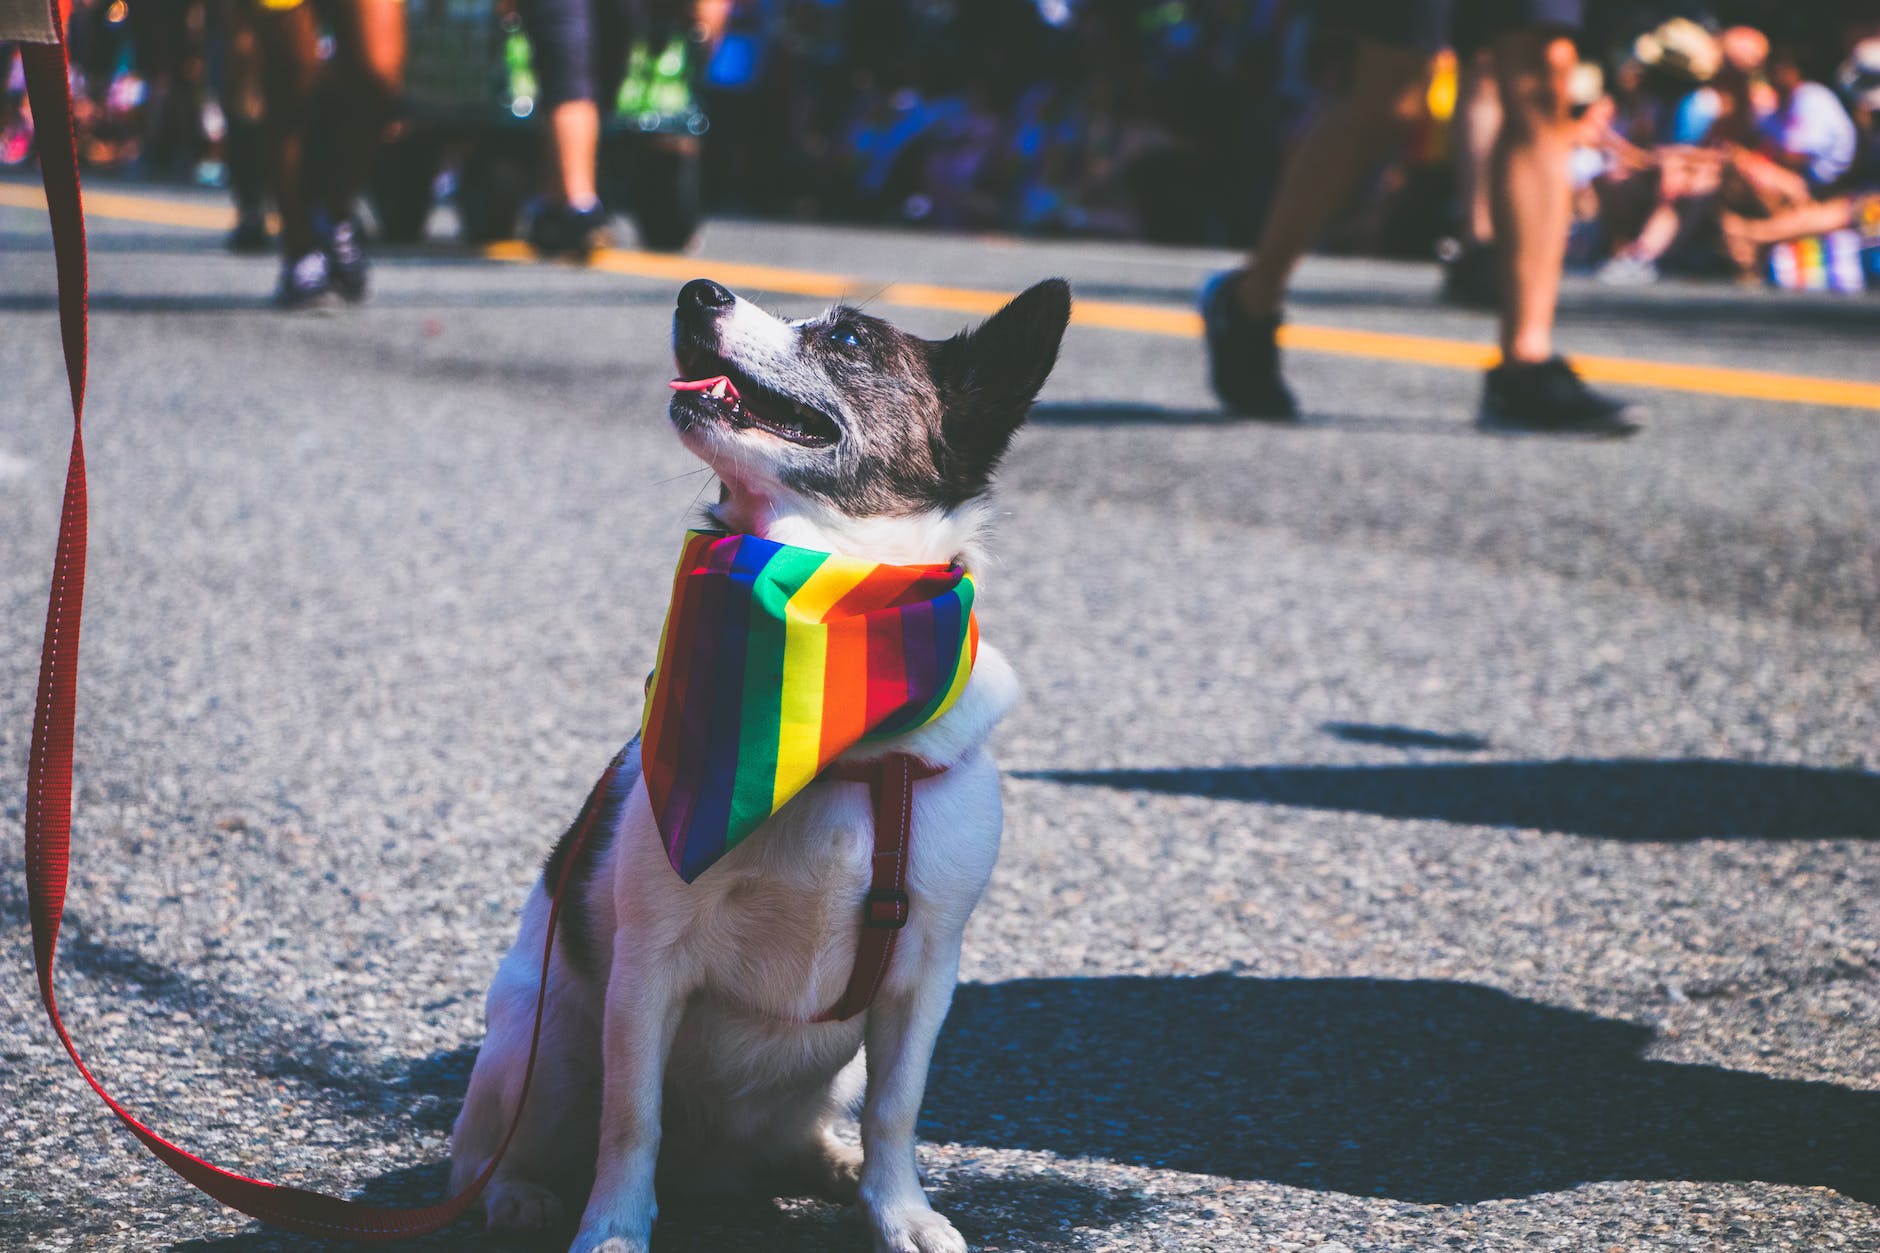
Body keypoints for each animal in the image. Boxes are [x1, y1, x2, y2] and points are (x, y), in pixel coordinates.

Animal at [443, 276, 1075, 1249]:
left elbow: (897, 1108)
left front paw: (899, 1209)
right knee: (488, 1150)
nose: (696, 291)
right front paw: (614, 1228)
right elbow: (631, 1117)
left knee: (815, 1126)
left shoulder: (923, 976)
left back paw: (833, 1165)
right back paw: (517, 1195)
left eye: (848, 339)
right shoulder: (648, 970)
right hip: (541, 1043)